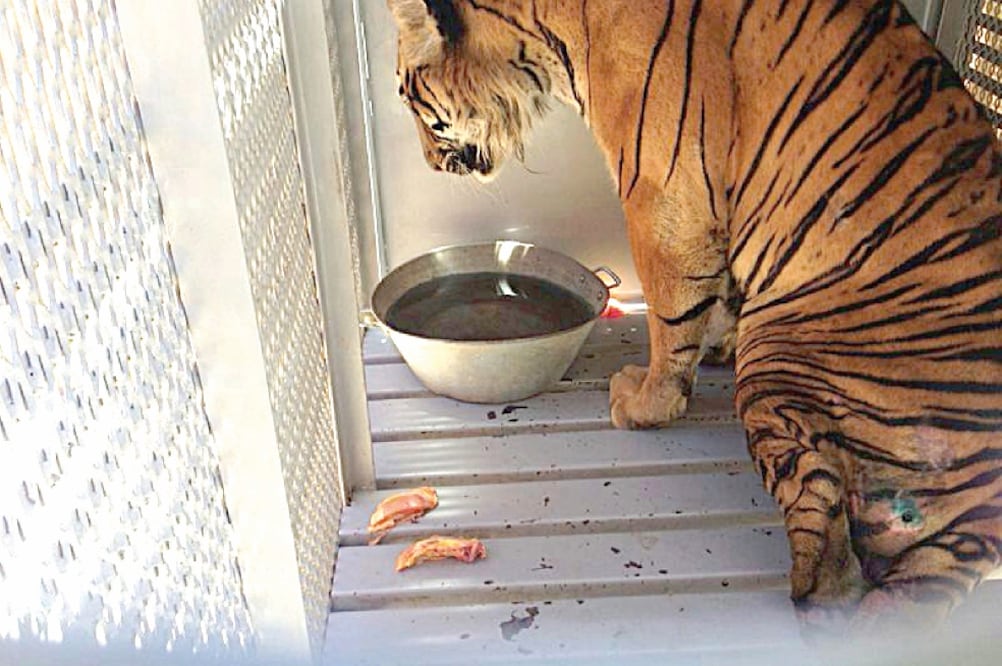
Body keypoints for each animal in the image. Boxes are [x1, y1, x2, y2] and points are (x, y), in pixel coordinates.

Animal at [386, 0, 1002, 636]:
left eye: (410, 99)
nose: (432, 165)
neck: (543, 39)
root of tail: (982, 517)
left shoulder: (664, 196)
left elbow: (670, 320)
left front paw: (646, 402)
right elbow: (720, 294)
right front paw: (717, 341)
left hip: (779, 361)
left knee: (827, 534)